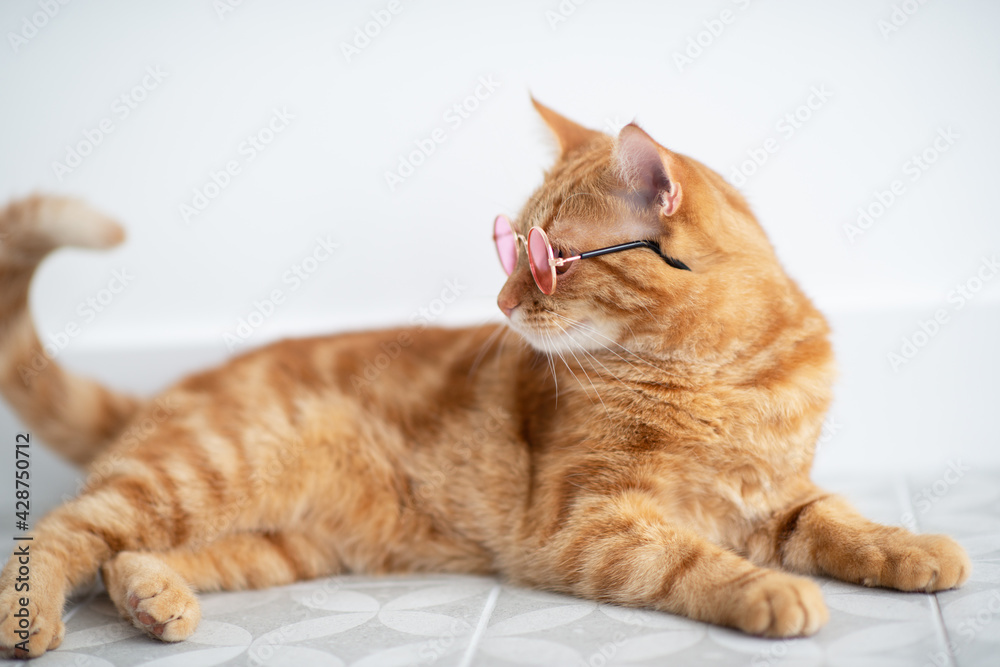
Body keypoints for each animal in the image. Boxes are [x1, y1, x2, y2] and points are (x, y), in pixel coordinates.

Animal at [0, 102, 968, 660]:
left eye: (547, 260)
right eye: (514, 247)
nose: (501, 299)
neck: (717, 374)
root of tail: (173, 388)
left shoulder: (778, 494)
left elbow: (843, 522)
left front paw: (916, 548)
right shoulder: (583, 524)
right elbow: (691, 559)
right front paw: (771, 591)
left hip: (281, 540)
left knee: (127, 554)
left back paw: (152, 599)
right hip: (201, 472)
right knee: (65, 531)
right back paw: (35, 617)